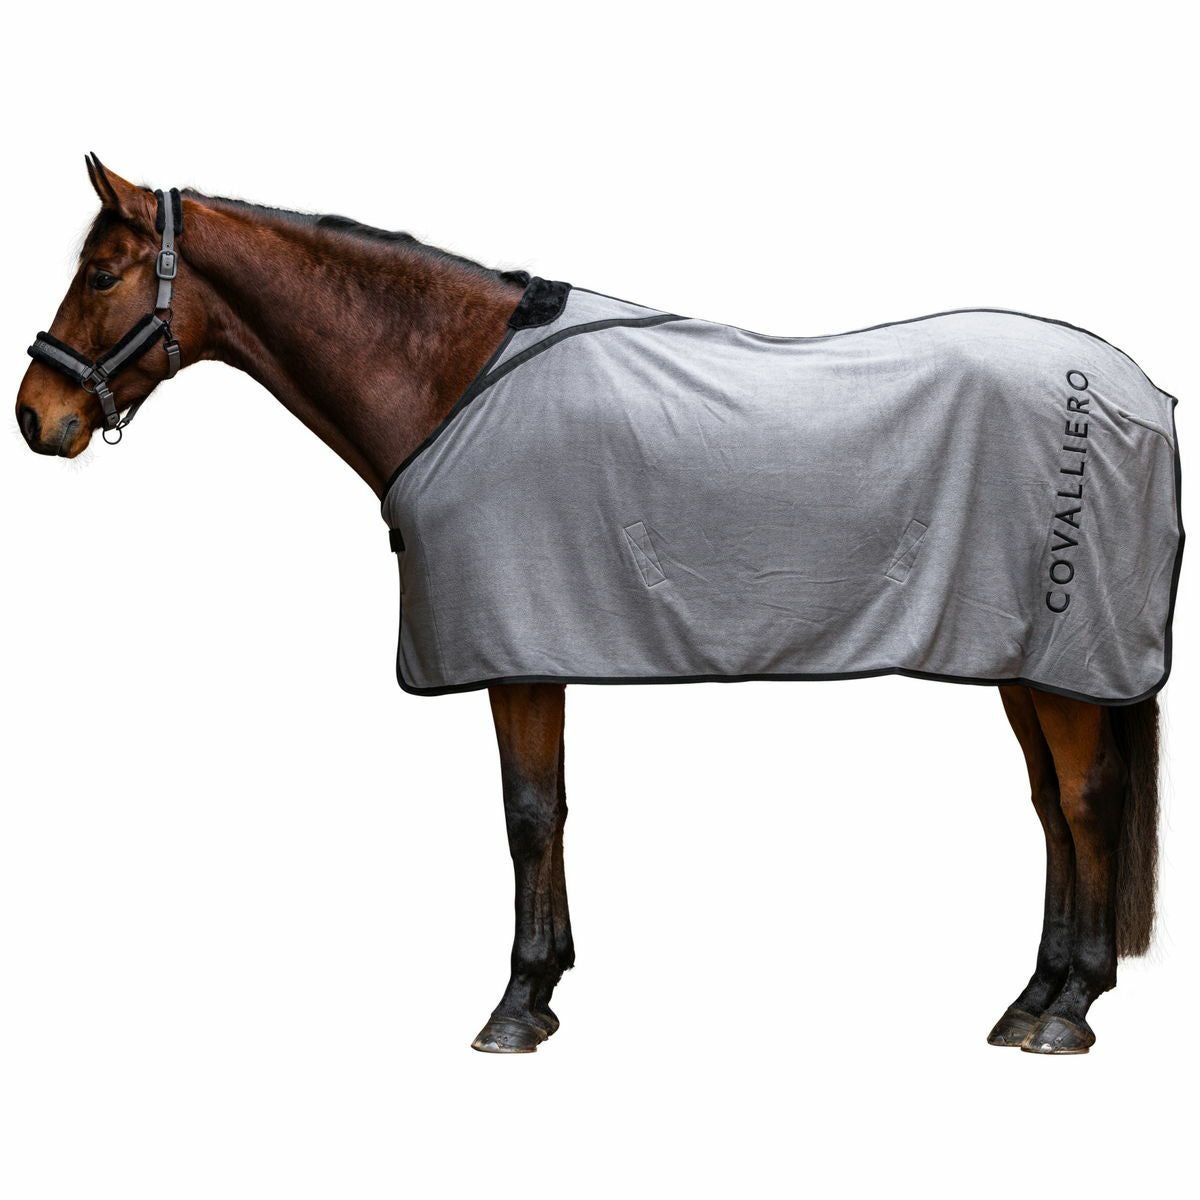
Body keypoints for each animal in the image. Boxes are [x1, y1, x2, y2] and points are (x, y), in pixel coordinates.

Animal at [16, 156, 1174, 1055]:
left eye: (104, 272)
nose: (36, 415)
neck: (452, 382)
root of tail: (1139, 393)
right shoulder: (539, 644)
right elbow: (552, 806)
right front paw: (550, 982)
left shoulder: (515, 647)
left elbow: (527, 814)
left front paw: (517, 1002)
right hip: (1027, 661)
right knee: (1051, 810)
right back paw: (1030, 999)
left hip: (1067, 660)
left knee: (1084, 803)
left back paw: (1068, 1010)